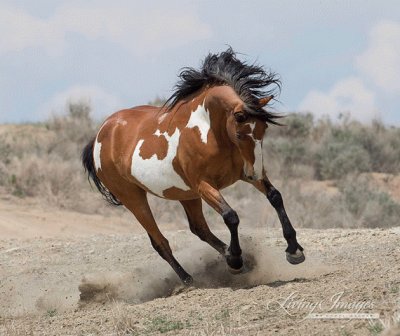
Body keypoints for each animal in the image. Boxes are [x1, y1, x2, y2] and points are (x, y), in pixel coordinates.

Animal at [83, 47, 304, 284]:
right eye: (239, 134)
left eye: (264, 130)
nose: (254, 173)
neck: (210, 131)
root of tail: (100, 134)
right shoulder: (204, 185)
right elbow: (231, 216)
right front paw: (236, 260)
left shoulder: (244, 174)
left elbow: (275, 197)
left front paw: (294, 250)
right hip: (134, 198)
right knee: (160, 242)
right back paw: (190, 279)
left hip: (185, 194)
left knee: (199, 228)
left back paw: (228, 258)